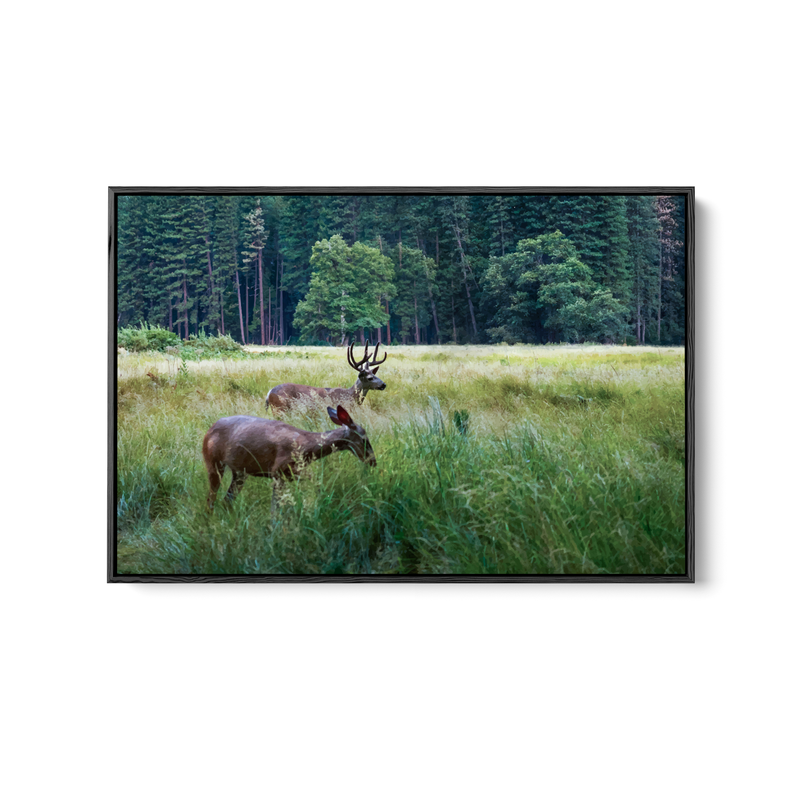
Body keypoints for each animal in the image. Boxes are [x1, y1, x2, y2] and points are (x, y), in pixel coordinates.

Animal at [203, 405, 376, 512]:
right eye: (364, 440)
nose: (373, 461)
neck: (306, 447)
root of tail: (208, 431)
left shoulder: (293, 473)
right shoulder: (278, 471)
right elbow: (276, 508)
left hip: (239, 472)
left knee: (227, 499)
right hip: (213, 462)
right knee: (211, 499)